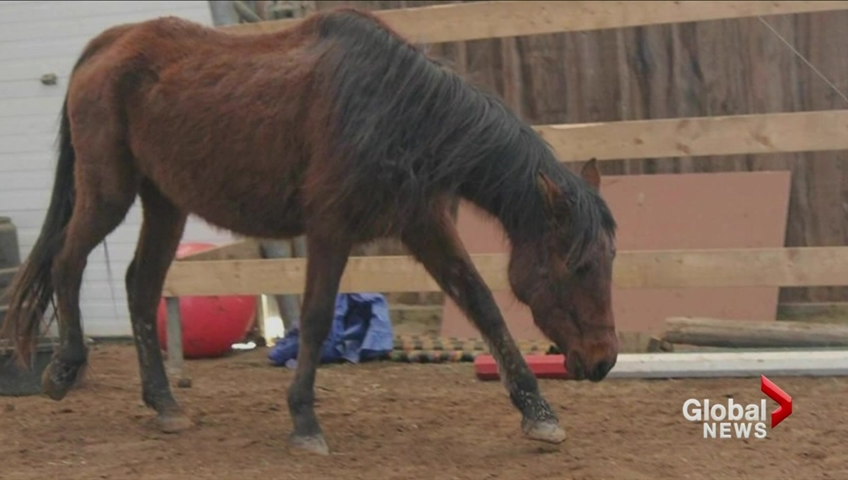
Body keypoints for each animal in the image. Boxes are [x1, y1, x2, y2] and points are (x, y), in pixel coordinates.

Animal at [0, 6, 618, 455]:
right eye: (577, 266)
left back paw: (166, 405)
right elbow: (317, 317)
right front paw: (303, 420)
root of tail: (109, 45)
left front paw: (539, 413)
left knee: (140, 285)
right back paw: (63, 370)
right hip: (109, 190)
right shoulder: (330, 229)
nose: (603, 361)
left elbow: (483, 305)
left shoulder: (424, 225)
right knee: (67, 261)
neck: (398, 111)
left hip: (165, 202)